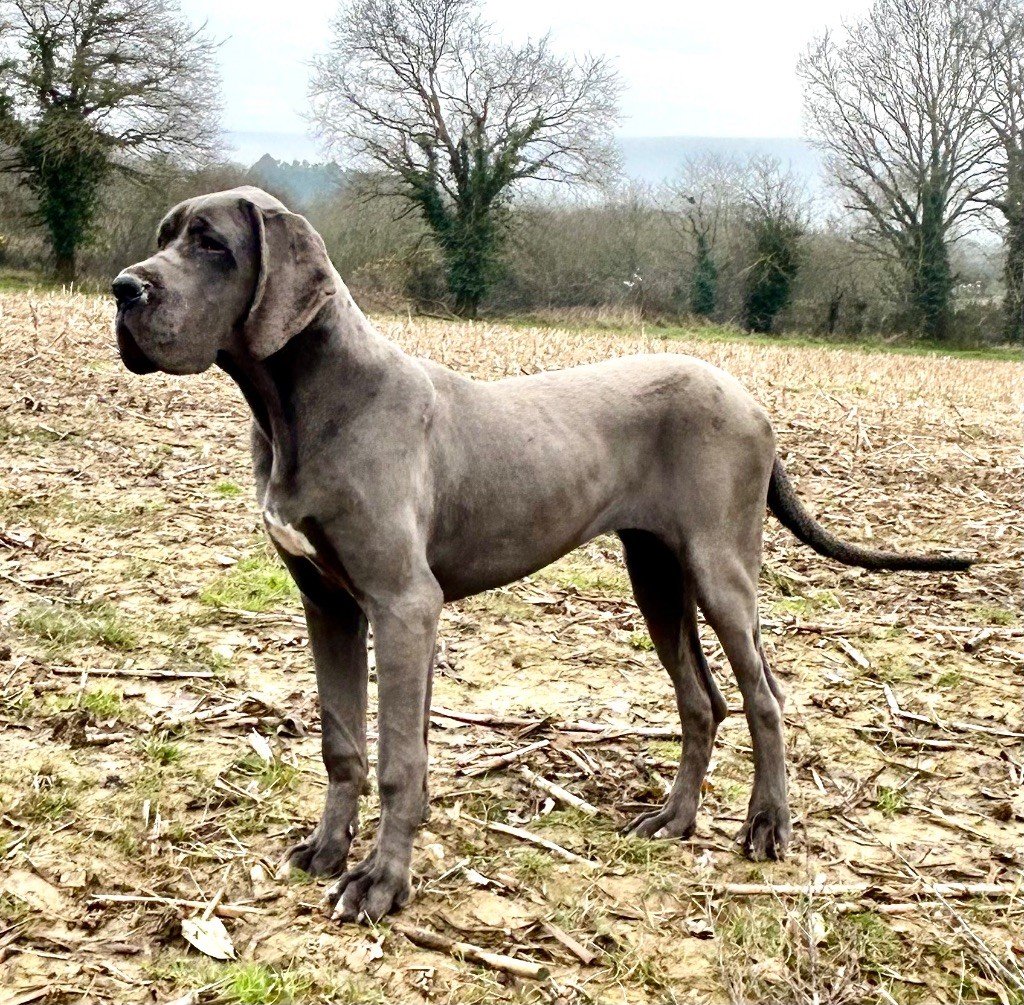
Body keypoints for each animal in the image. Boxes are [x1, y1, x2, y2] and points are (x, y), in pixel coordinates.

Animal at [110, 184, 966, 922]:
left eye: (212, 243)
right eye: (164, 235)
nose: (123, 288)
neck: (301, 405)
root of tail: (753, 401)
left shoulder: (403, 603)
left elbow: (398, 759)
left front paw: (381, 883)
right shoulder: (328, 602)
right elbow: (343, 742)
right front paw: (327, 848)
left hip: (721, 571)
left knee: (764, 698)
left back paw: (767, 827)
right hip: (656, 574)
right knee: (703, 701)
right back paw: (673, 818)